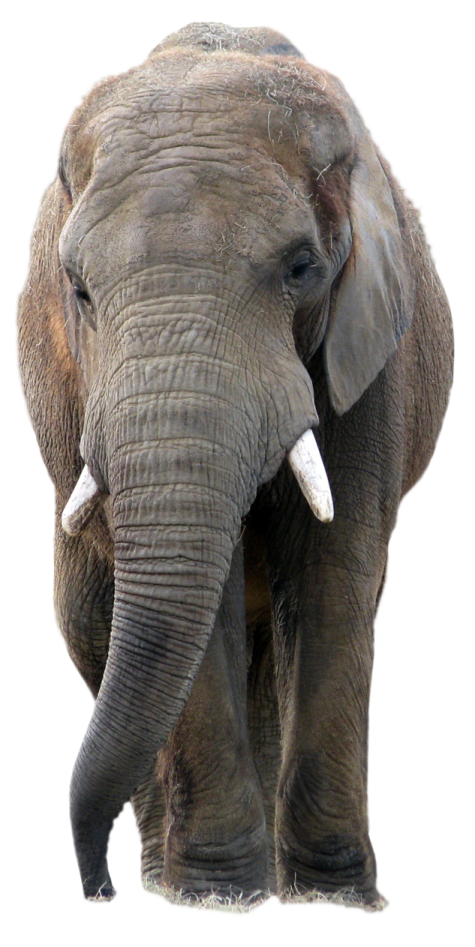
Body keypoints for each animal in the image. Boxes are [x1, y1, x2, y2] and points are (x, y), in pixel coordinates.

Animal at [15, 21, 454, 913]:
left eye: (300, 268)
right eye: (77, 289)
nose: (95, 890)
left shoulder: (370, 355)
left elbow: (333, 575)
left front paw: (333, 897)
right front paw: (215, 896)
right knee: (96, 621)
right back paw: (165, 873)